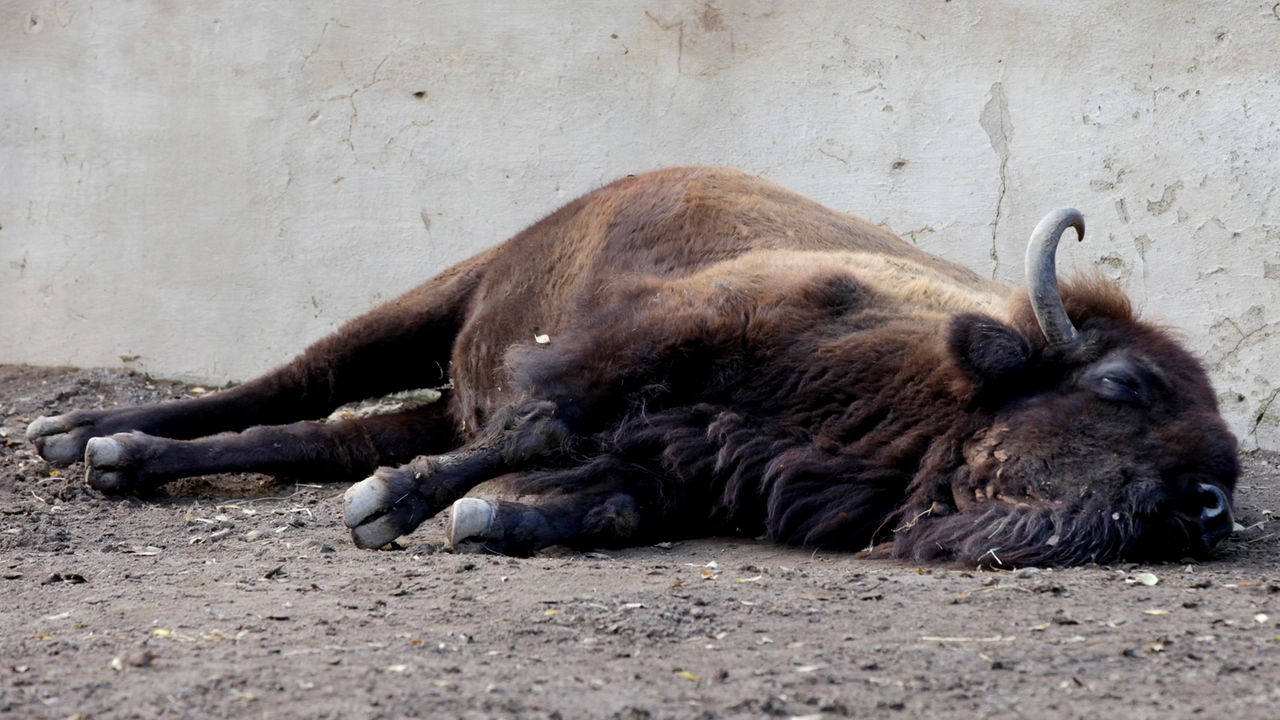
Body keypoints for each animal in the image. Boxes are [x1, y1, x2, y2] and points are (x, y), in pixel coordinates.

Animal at [27, 165, 1239, 563]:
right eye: (1123, 385)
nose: (1210, 502)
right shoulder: (665, 337)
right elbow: (546, 422)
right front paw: (394, 509)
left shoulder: (698, 464)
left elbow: (608, 495)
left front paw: (493, 517)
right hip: (443, 299)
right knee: (306, 380)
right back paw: (79, 438)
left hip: (441, 384)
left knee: (320, 430)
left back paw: (118, 455)